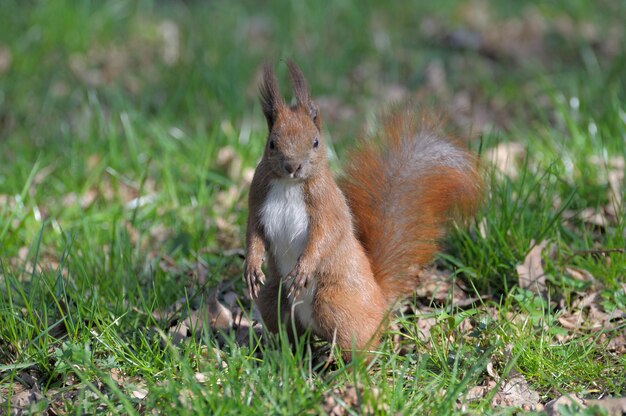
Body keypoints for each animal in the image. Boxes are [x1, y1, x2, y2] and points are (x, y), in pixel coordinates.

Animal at [243, 61, 478, 354]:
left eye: (315, 142)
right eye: (272, 143)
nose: (293, 166)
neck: (288, 184)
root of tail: (380, 302)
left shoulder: (327, 205)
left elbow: (325, 236)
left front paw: (303, 269)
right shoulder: (257, 198)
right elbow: (254, 234)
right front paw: (252, 267)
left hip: (334, 304)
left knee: (359, 345)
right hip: (272, 299)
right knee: (291, 329)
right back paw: (285, 351)